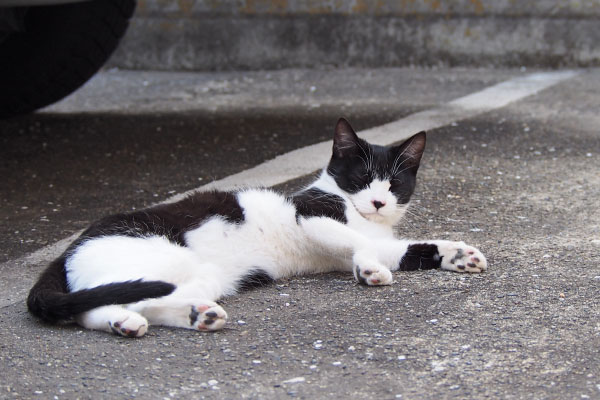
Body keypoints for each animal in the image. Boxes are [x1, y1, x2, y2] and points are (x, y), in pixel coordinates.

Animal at [28, 118, 488, 338]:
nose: (378, 202)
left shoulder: (376, 241)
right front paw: (368, 268)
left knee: (127, 304)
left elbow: (403, 247)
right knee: (103, 303)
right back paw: (136, 320)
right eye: (361, 178)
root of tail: (70, 248)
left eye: (394, 184)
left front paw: (457, 253)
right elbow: (358, 242)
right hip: (159, 262)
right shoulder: (312, 215)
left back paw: (186, 316)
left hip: (198, 277)